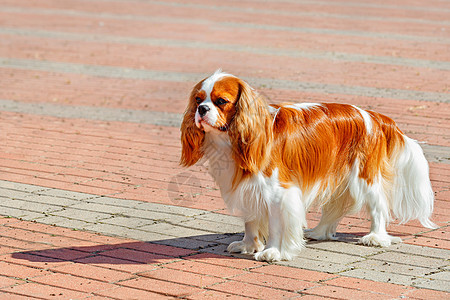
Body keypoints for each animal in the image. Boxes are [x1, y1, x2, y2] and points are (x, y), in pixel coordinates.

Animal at [180, 69, 436, 262]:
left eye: (221, 101)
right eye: (198, 100)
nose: (202, 109)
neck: (232, 140)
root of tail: (374, 116)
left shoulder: (278, 193)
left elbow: (275, 225)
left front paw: (272, 252)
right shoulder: (249, 188)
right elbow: (251, 220)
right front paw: (248, 245)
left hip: (364, 178)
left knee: (378, 207)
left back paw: (375, 237)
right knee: (334, 208)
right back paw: (319, 233)